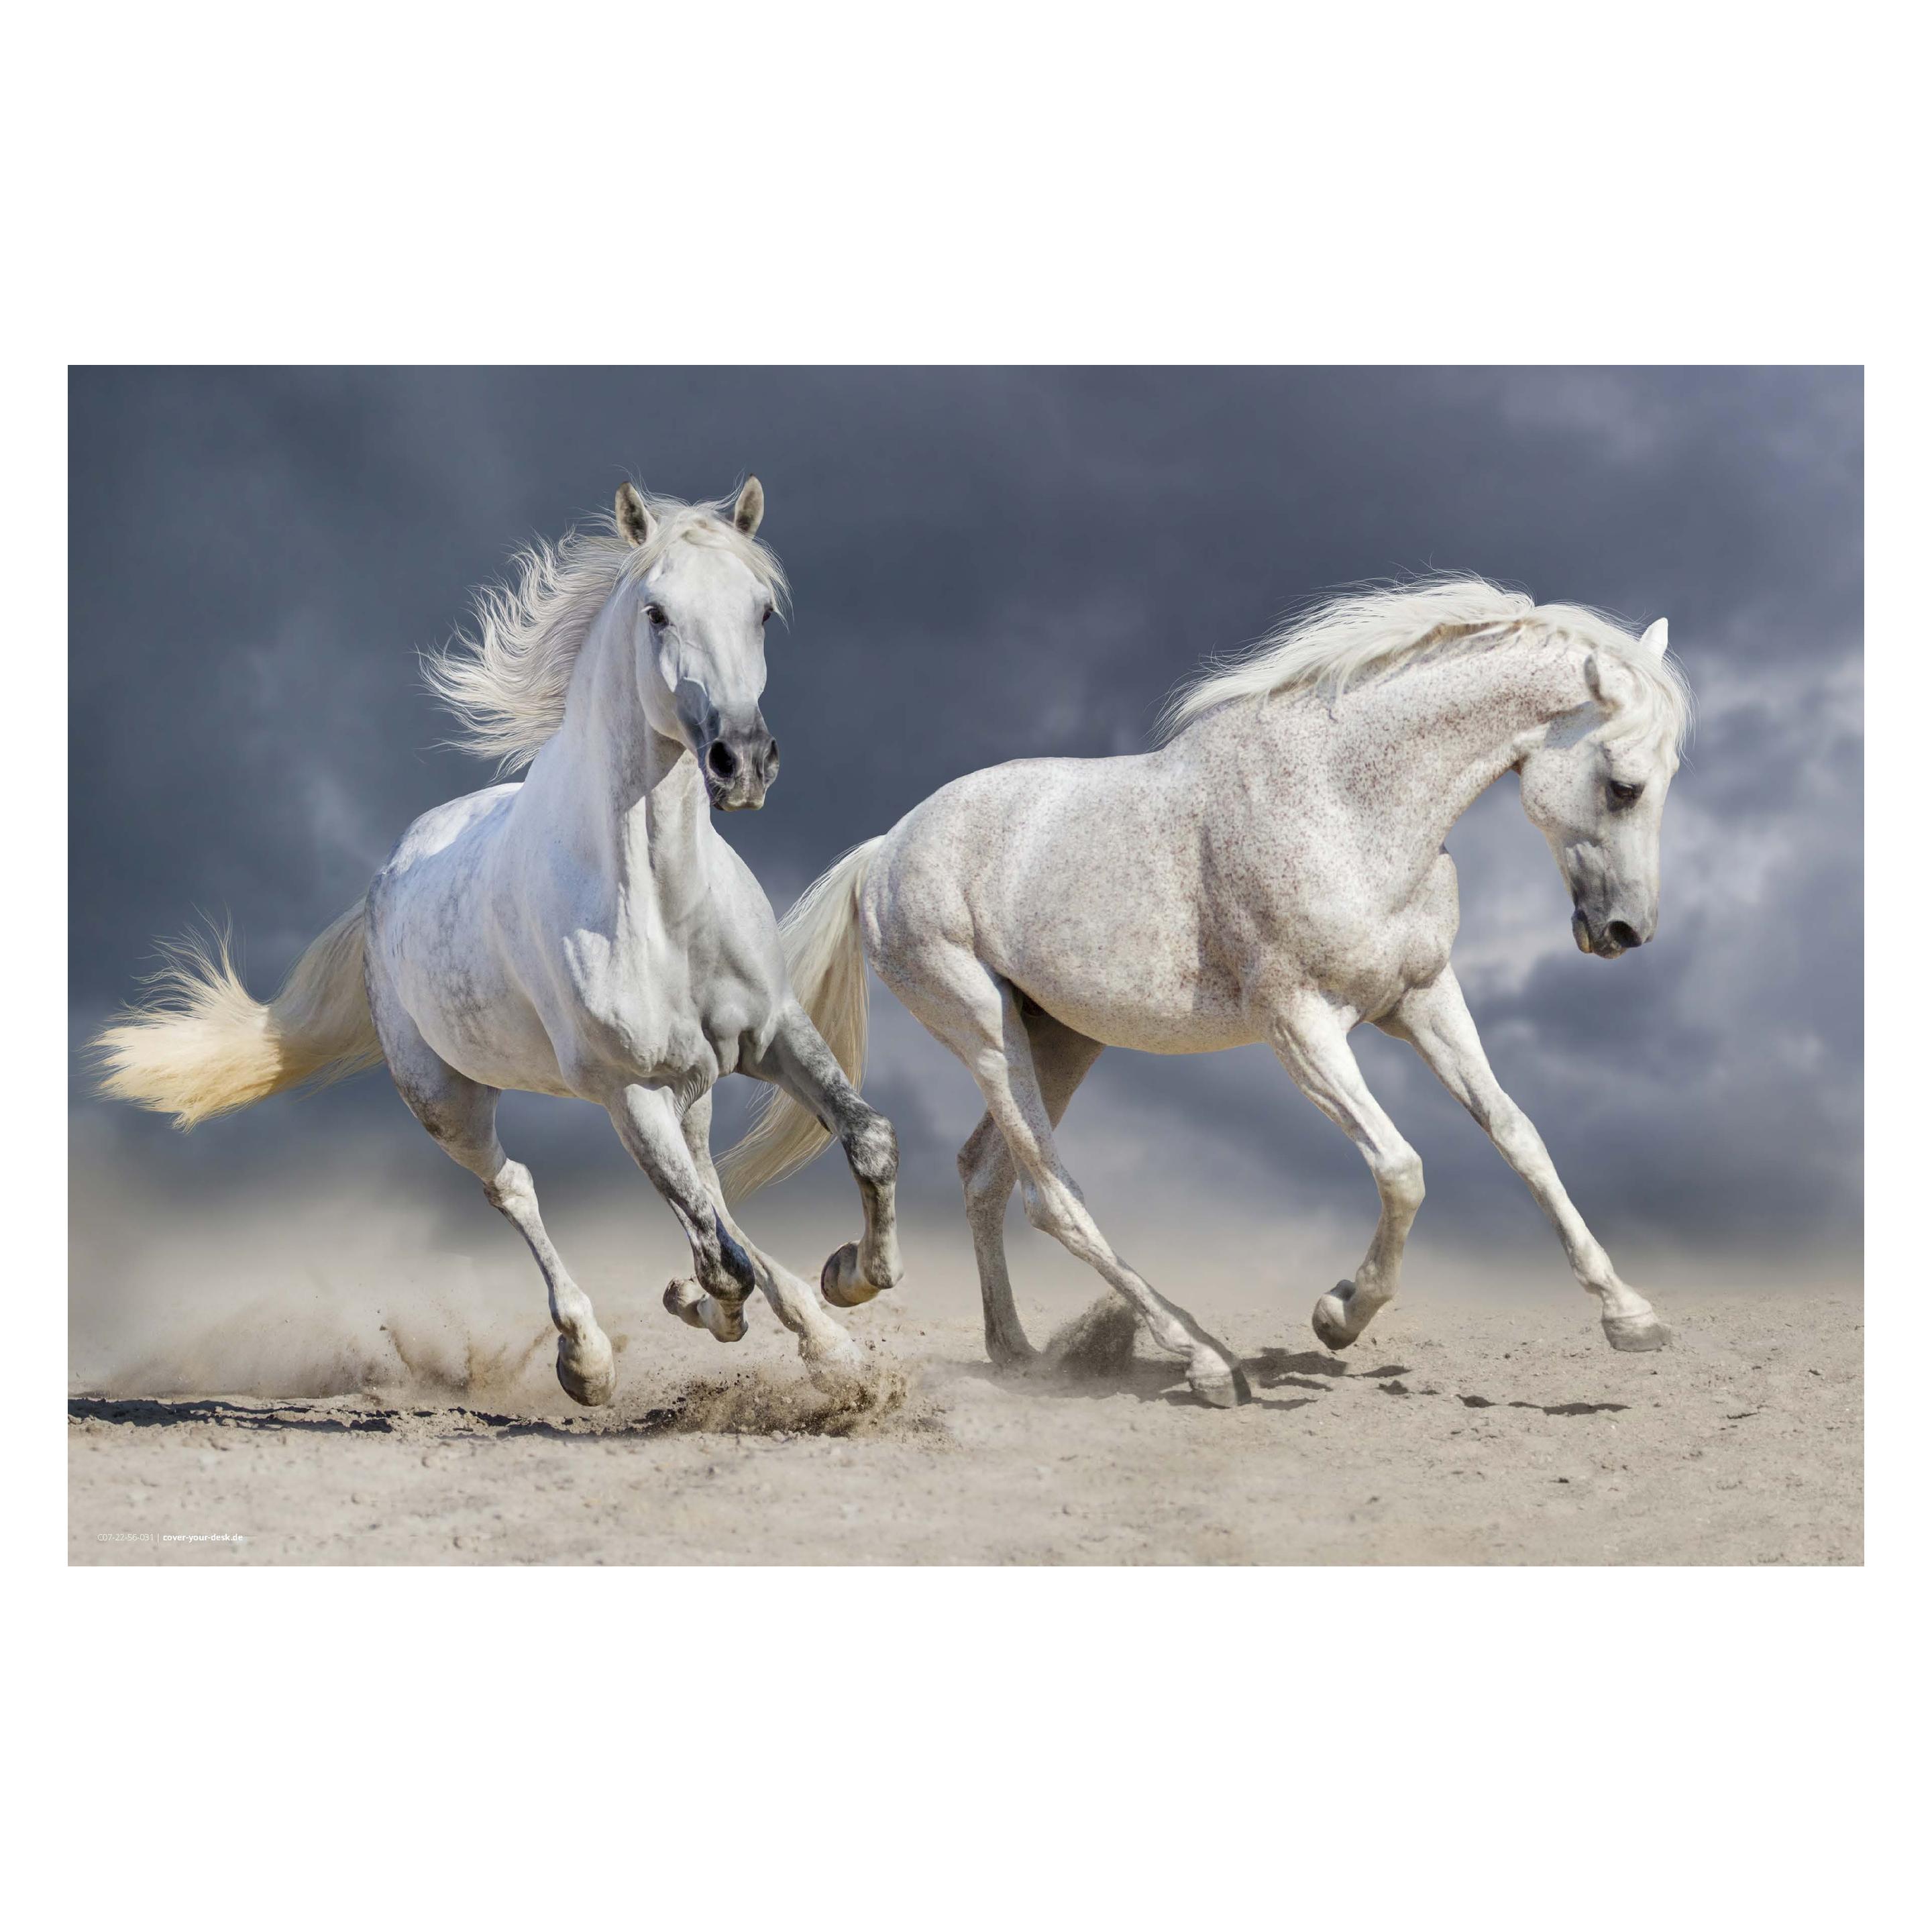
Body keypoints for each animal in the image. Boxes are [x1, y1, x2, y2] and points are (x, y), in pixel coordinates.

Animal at [92, 479, 904, 1406]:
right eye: (657, 613)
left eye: (761, 610)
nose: (743, 762)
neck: (661, 904)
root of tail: (386, 878)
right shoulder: (627, 1090)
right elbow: (714, 1252)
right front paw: (713, 1309)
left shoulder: (772, 1033)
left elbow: (866, 1142)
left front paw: (850, 1281)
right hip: (448, 1099)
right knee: (517, 1189)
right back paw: (587, 1358)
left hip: (689, 1085)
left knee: (707, 1183)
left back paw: (815, 1334)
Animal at [722, 576, 1691, 1409]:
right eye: (1623, 785)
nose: (1625, 932)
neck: (1349, 803)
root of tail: (885, 848)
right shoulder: (1300, 1024)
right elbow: (1402, 1169)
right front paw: (1338, 1315)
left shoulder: (1422, 999)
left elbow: (1520, 1139)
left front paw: (1632, 1317)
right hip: (982, 1027)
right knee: (1051, 1198)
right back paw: (1204, 1363)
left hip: (1061, 1037)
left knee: (986, 1177)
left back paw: (1009, 1348)